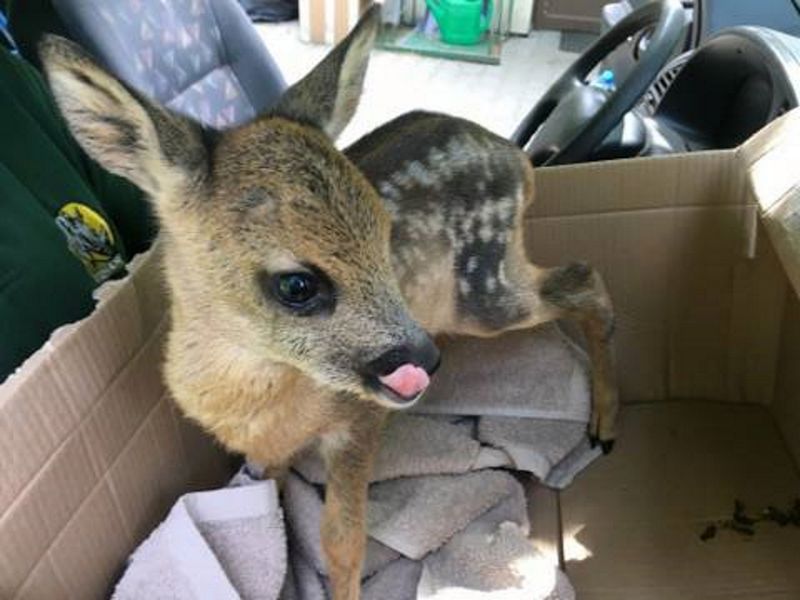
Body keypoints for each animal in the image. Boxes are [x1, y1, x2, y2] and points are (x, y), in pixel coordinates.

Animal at [42, 7, 620, 596]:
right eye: (296, 285)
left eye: (385, 235)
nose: (426, 358)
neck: (263, 400)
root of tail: (518, 158)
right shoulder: (264, 452)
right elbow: (276, 520)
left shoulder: (358, 419)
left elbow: (342, 541)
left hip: (483, 287)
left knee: (585, 278)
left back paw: (604, 424)